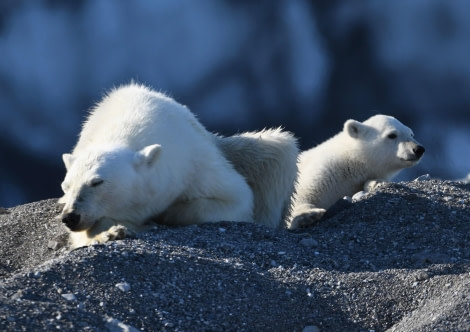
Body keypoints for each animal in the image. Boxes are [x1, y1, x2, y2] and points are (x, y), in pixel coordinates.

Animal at [61, 83, 258, 249]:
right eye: (66, 186)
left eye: (97, 182)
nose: (70, 216)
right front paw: (110, 233)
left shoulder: (195, 162)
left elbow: (237, 197)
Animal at [286, 114, 426, 228]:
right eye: (392, 135)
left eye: (411, 134)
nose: (418, 149)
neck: (350, 160)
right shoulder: (324, 169)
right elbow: (303, 192)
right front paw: (308, 215)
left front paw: (376, 183)